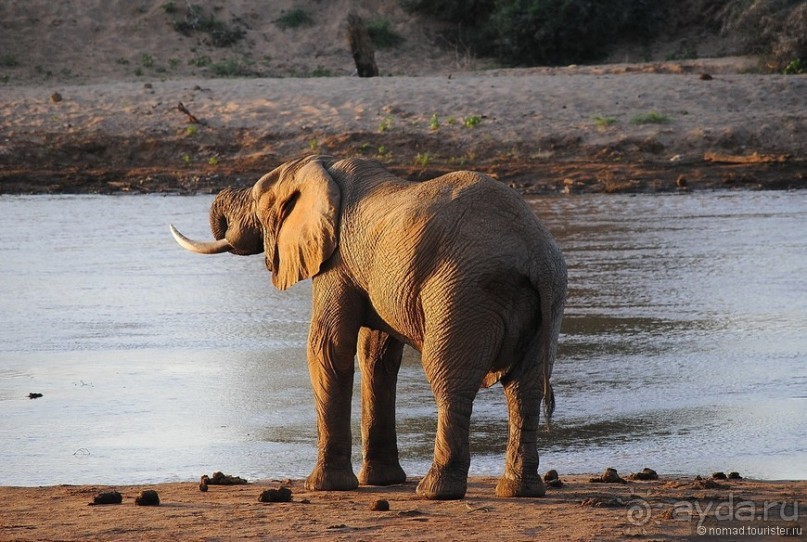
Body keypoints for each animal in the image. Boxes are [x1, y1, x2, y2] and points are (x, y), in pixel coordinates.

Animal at [169, 154, 568, 502]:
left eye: (257, 201)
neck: (320, 168)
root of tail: (535, 253)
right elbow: (377, 355)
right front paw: (381, 482)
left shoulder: (336, 261)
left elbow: (328, 347)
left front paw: (324, 487)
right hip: (547, 300)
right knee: (525, 386)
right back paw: (519, 490)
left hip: (464, 291)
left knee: (449, 379)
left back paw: (435, 492)